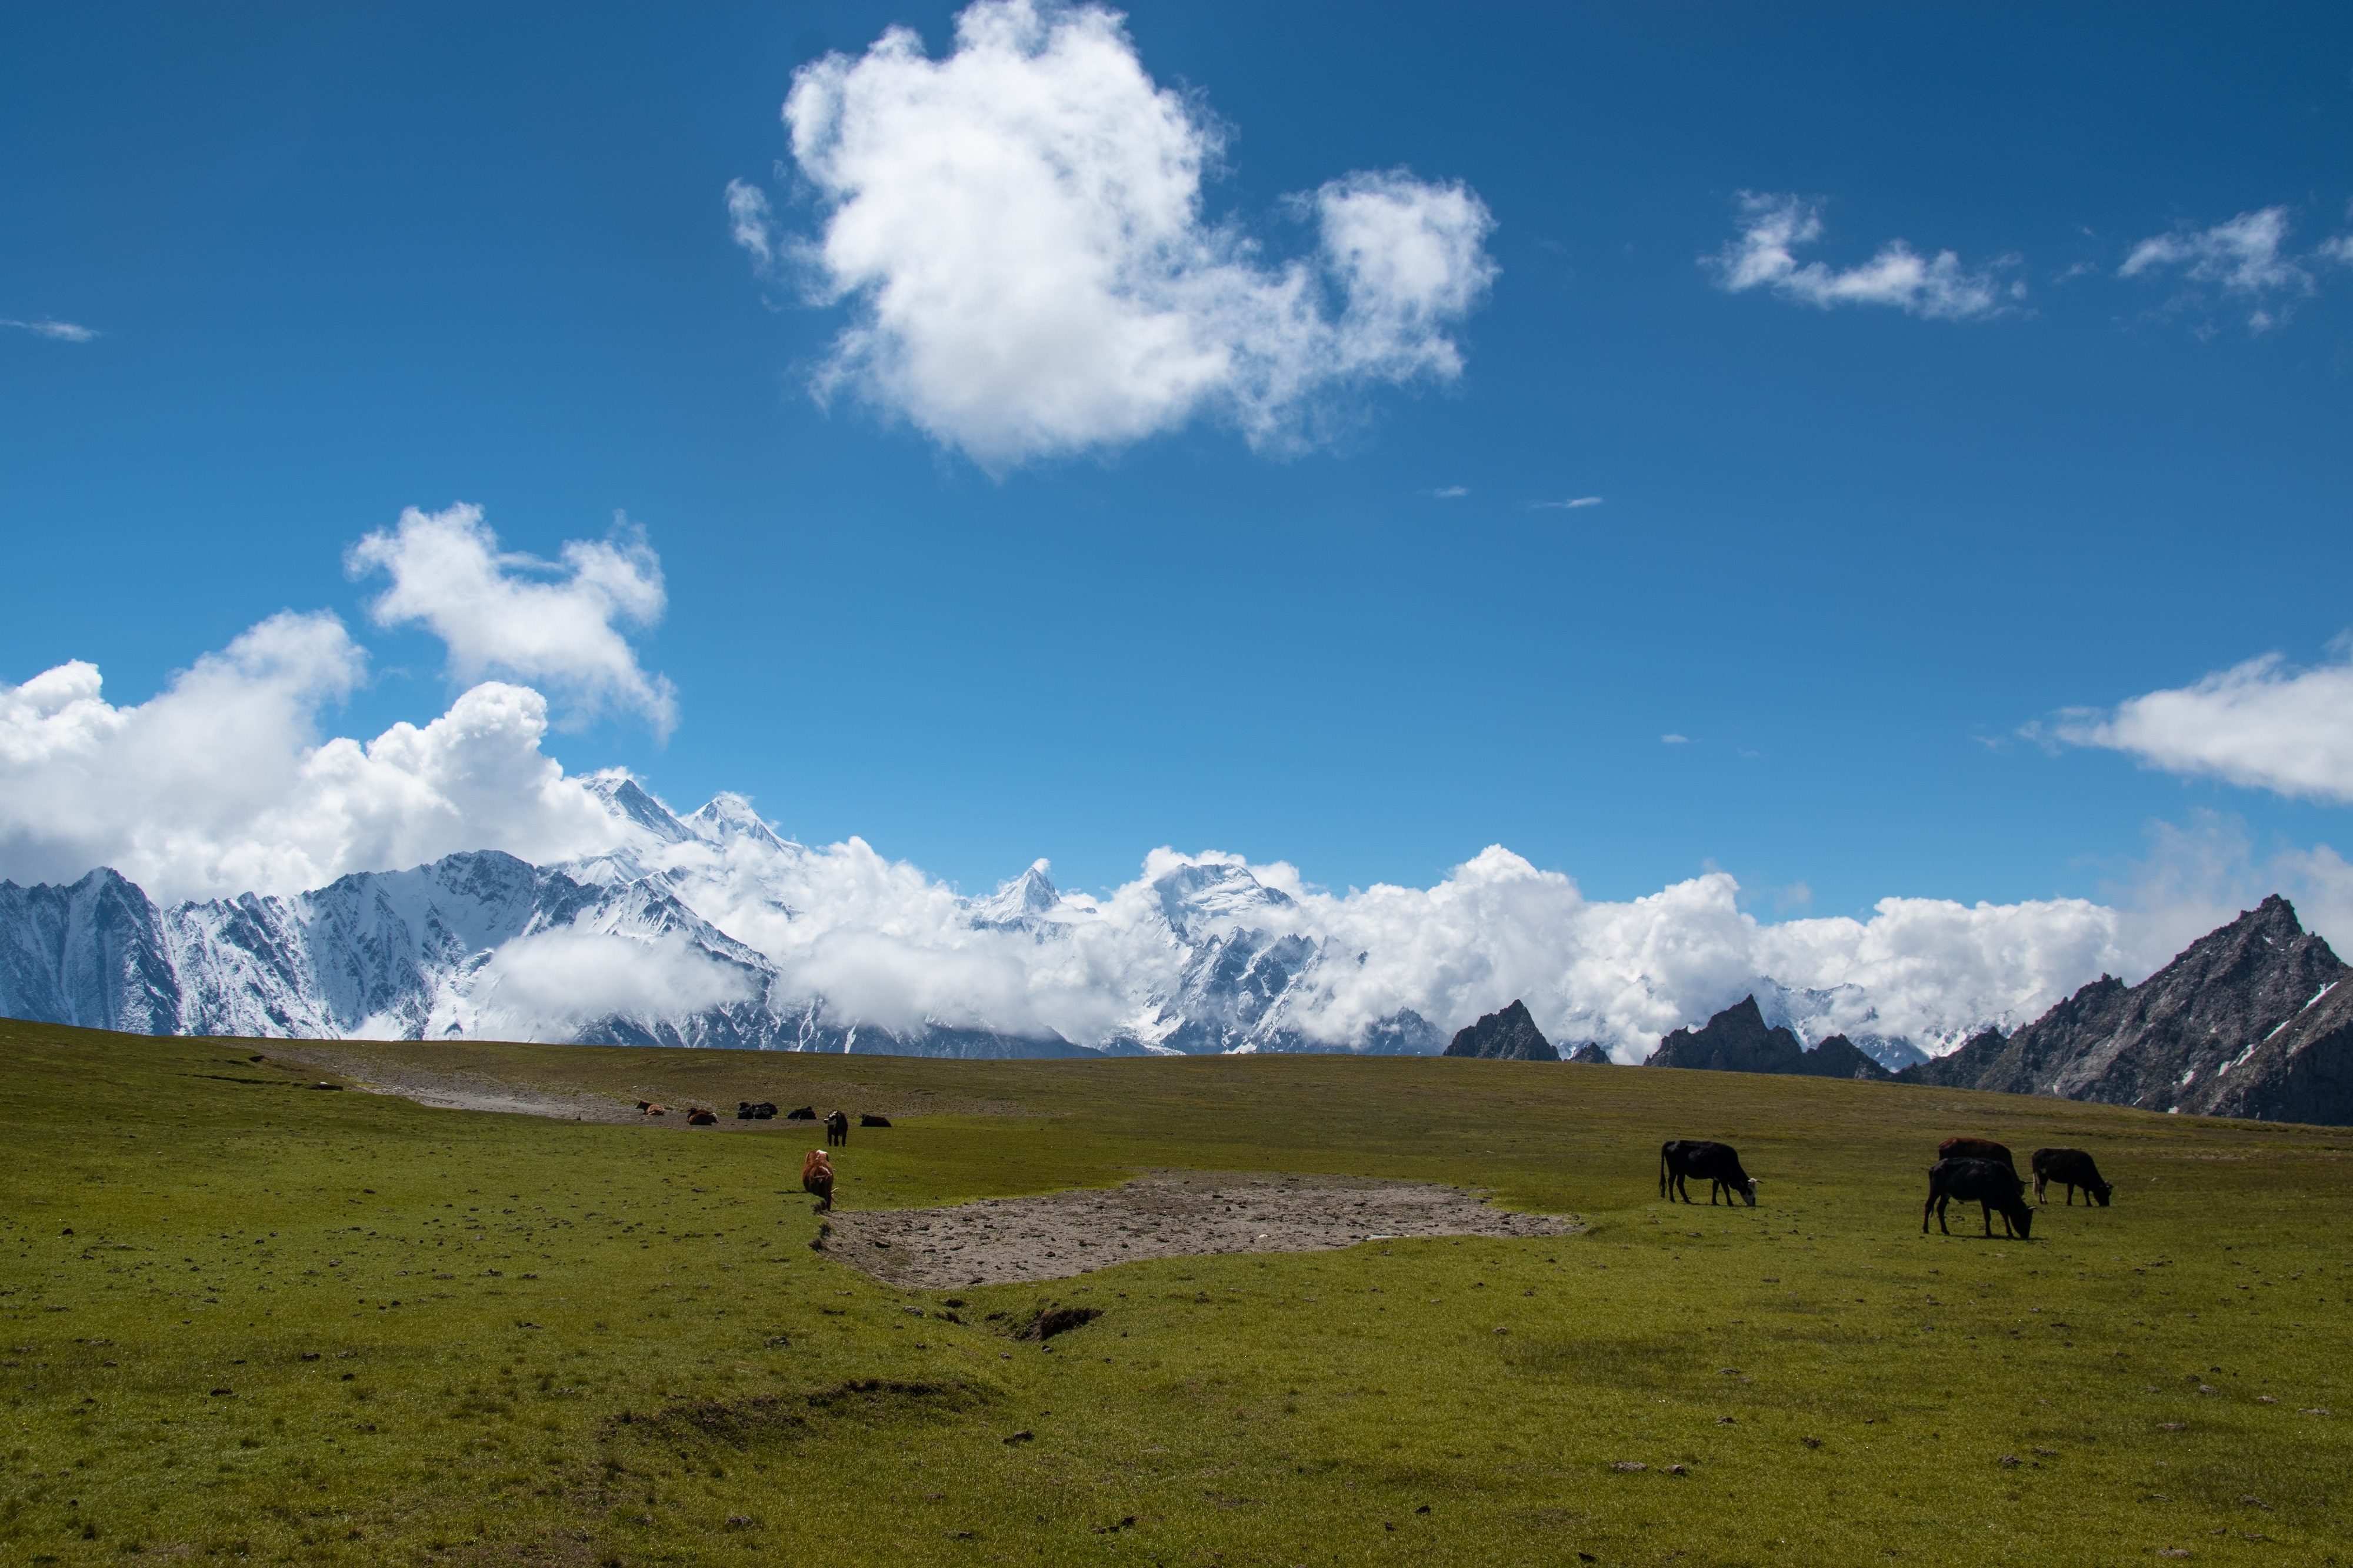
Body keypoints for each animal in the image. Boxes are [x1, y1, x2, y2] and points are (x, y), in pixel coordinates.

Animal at [1666, 1135, 1760, 1205]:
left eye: (1756, 1191)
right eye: (1749, 1191)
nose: (1753, 1203)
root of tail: (1673, 1143)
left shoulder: (1717, 1178)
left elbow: (1715, 1189)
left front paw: (1714, 1202)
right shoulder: (1722, 1178)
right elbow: (1726, 1190)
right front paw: (1730, 1203)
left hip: (1681, 1172)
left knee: (1679, 1184)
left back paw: (1686, 1200)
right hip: (1674, 1170)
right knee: (1671, 1181)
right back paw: (1673, 1199)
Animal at [1920, 1153, 2033, 1243]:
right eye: (2024, 1218)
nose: (2026, 1235)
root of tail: (1935, 1167)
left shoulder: (2000, 1204)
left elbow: (2005, 1216)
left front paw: (2010, 1233)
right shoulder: (1984, 1199)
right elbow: (1988, 1216)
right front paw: (1989, 1233)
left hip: (1945, 1194)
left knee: (1940, 1209)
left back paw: (1945, 1230)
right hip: (1935, 1191)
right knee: (1928, 1206)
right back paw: (1925, 1229)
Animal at [2024, 1149, 2118, 1205]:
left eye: (2109, 1194)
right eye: (2103, 1193)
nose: (2106, 1205)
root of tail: (2035, 1154)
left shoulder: (2085, 1185)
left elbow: (2086, 1193)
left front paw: (2089, 1204)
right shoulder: (2071, 1182)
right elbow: (2071, 1192)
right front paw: (2069, 1203)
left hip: (2044, 1177)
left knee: (2041, 1187)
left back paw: (2042, 1201)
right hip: (2042, 1176)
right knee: (2041, 1188)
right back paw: (2044, 1201)